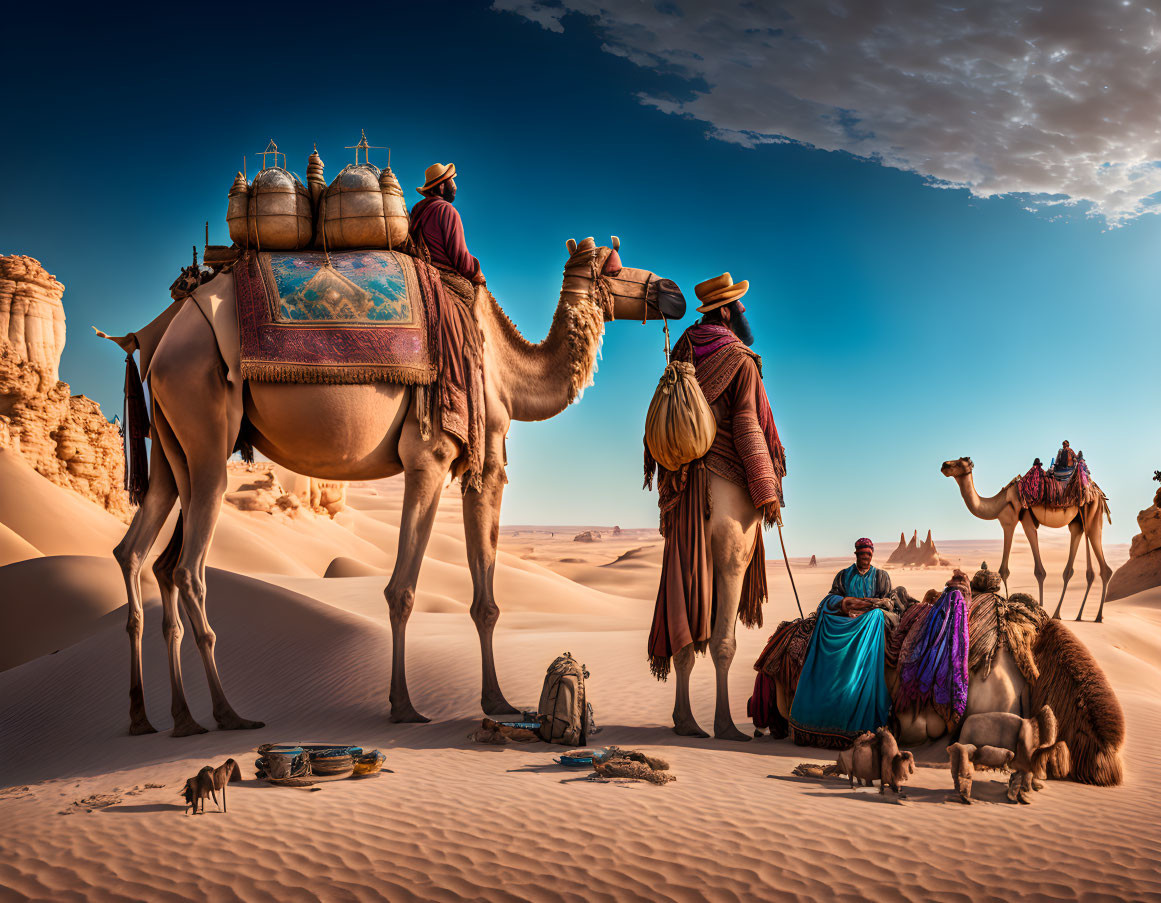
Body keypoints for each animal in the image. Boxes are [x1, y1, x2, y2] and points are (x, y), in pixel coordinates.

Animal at [104, 234, 682, 733]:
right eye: (615, 264)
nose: (673, 292)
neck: (506, 371)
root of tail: (160, 337)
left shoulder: (479, 466)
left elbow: (485, 599)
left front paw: (495, 701)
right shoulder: (433, 455)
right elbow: (403, 589)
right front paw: (405, 705)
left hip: (171, 450)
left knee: (139, 554)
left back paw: (161, 718)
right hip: (204, 429)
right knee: (188, 569)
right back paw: (228, 714)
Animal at [938, 457, 1109, 617]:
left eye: (959, 463)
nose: (944, 465)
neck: (1000, 502)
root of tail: (1099, 493)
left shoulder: (1014, 521)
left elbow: (1018, 571)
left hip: (1092, 515)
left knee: (1104, 568)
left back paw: (1097, 616)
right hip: (1078, 521)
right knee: (1078, 565)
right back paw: (1069, 615)